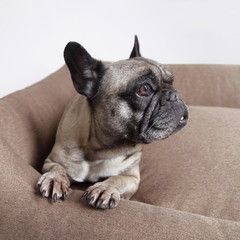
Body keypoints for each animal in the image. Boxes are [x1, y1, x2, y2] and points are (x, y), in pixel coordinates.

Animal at [37, 35, 188, 208]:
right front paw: (54, 179)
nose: (175, 95)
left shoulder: (131, 177)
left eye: (172, 81)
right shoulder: (50, 161)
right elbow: (57, 169)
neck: (100, 149)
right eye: (144, 89)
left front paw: (105, 188)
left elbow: (117, 178)